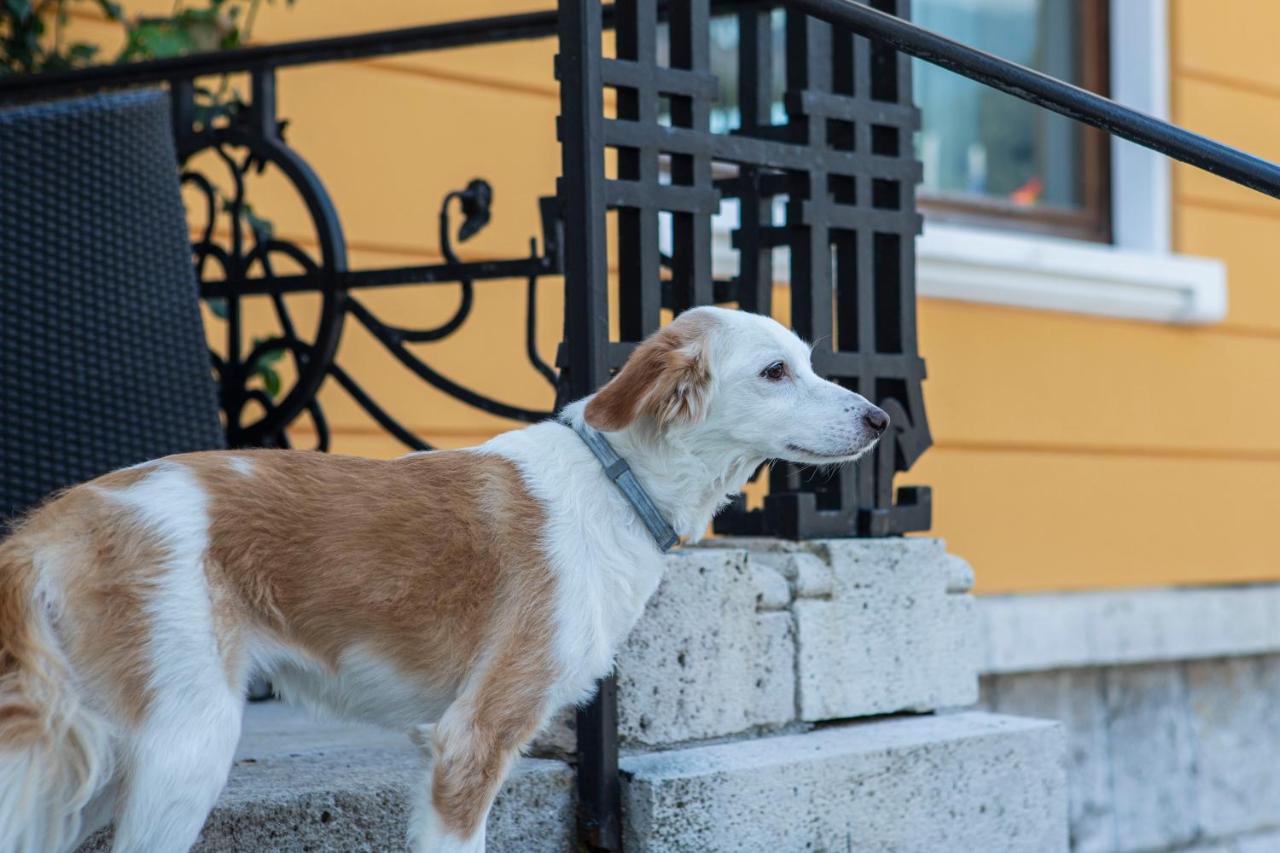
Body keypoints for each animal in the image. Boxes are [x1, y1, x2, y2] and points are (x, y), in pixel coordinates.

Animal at [0, 307, 890, 850]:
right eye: (774, 372)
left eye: (809, 362)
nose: (881, 418)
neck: (615, 482)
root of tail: (54, 521)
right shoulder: (472, 740)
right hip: (184, 745)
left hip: (104, 759)